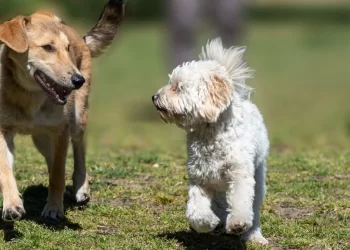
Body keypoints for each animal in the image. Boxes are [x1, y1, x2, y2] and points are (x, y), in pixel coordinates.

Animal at [0, 0, 125, 220]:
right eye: (47, 47)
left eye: (67, 49)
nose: (78, 80)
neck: (29, 95)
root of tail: (81, 37)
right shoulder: (3, 131)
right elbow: (5, 171)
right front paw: (12, 205)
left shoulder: (61, 130)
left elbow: (58, 174)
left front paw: (53, 208)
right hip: (41, 138)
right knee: (53, 157)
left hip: (77, 120)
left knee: (78, 148)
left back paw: (80, 187)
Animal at [152, 39, 270, 244]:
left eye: (178, 87)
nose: (154, 97)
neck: (210, 133)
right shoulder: (200, 179)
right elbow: (196, 211)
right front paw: (208, 223)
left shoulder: (240, 174)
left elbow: (241, 202)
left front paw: (238, 224)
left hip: (258, 176)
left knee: (253, 208)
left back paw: (254, 235)